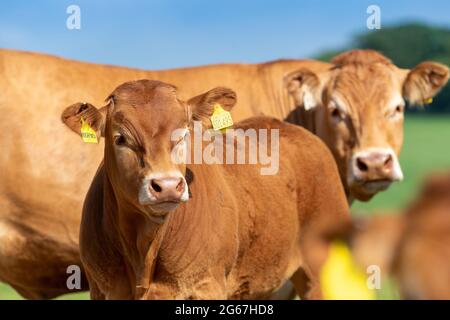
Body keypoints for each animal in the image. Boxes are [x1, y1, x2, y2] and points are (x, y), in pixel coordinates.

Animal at [59, 80, 348, 300]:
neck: (143, 252)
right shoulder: (102, 289)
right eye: (121, 138)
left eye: (184, 134)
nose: (167, 186)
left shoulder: (206, 286)